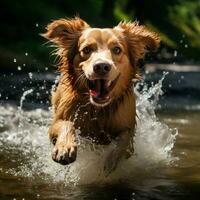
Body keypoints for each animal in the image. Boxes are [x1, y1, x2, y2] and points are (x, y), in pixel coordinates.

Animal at [41, 17, 159, 173]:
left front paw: (111, 161)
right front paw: (65, 148)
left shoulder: (128, 126)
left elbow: (124, 140)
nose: (101, 66)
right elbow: (66, 124)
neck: (98, 109)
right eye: (86, 49)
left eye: (117, 49)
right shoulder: (58, 120)